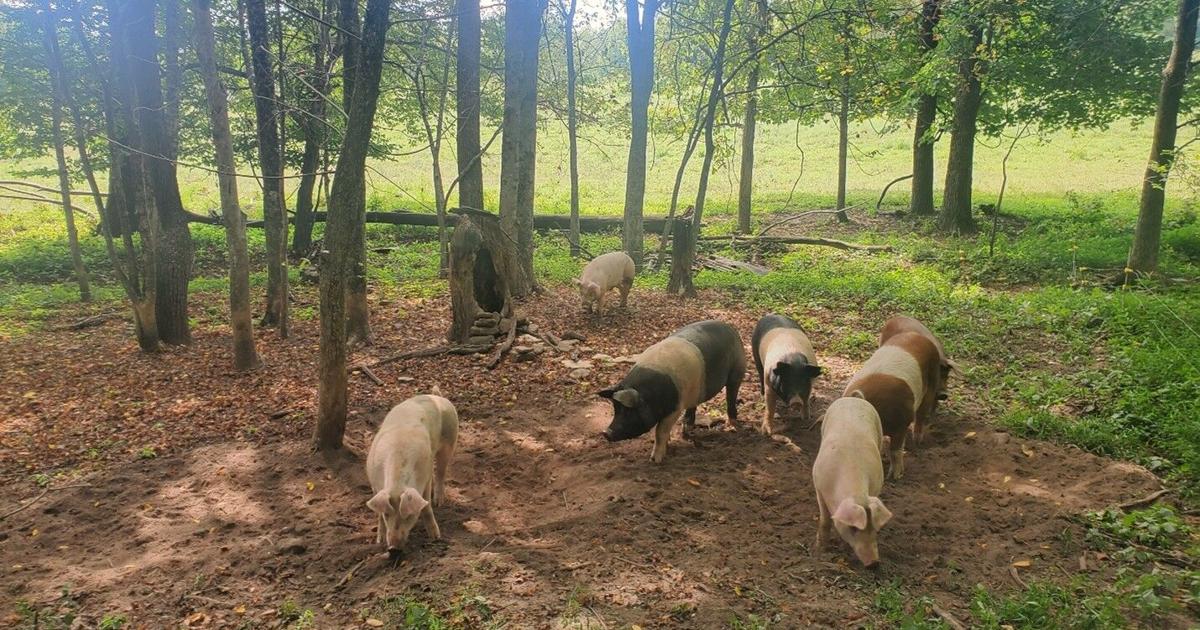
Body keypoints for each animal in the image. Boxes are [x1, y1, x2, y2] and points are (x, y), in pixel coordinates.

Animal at [365, 391, 458, 554]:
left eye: (409, 516)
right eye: (387, 514)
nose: (393, 548)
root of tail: (437, 395)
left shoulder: (426, 478)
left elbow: (426, 506)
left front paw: (435, 536)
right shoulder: (375, 485)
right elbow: (378, 512)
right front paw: (379, 541)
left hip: (450, 440)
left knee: (441, 472)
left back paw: (439, 502)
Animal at [599, 320, 746, 463]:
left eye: (628, 411)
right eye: (616, 408)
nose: (606, 433)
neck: (649, 396)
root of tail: (731, 329)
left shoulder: (675, 409)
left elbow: (660, 431)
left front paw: (654, 460)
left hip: (737, 371)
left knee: (731, 396)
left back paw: (734, 426)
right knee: (693, 406)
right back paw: (687, 429)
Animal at [811, 395, 893, 568]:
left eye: (875, 529)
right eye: (853, 528)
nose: (874, 563)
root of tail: (853, 398)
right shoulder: (819, 487)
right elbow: (825, 520)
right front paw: (819, 551)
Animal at [843, 330, 941, 479]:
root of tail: (918, 335)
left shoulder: (903, 421)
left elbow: (895, 450)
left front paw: (895, 477)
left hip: (933, 378)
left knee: (922, 412)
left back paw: (917, 440)